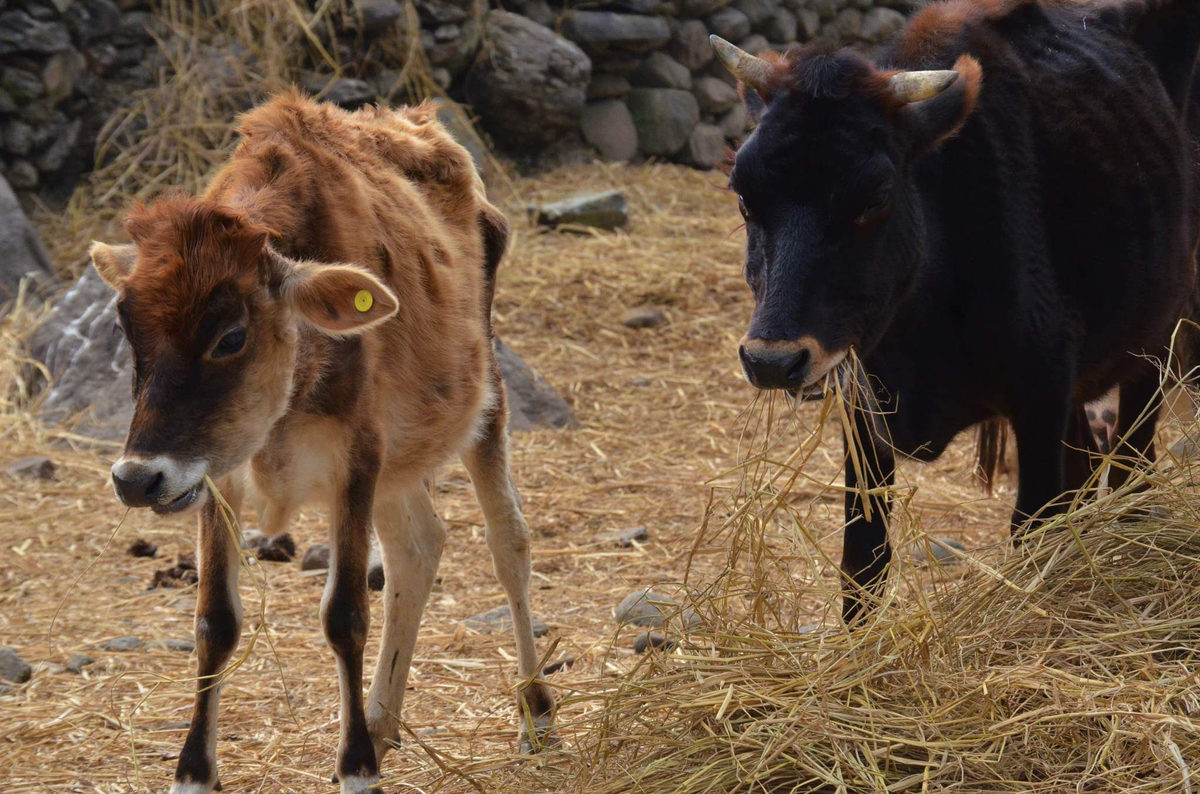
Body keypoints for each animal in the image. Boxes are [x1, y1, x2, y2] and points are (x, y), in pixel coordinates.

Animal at [87, 92, 554, 793]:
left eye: (231, 336)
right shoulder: (218, 473)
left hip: (485, 395)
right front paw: (194, 771)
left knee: (509, 542)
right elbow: (214, 619)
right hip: (399, 454)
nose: (138, 479)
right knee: (419, 545)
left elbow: (346, 614)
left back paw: (534, 713)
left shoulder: (356, 455)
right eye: (126, 327)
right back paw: (382, 722)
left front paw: (355, 767)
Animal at [710, 0, 1200, 623]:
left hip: (1158, 335)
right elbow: (864, 558)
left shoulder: (1039, 390)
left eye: (876, 198)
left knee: (1133, 465)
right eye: (744, 197)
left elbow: (1033, 526)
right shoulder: (861, 405)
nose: (773, 361)